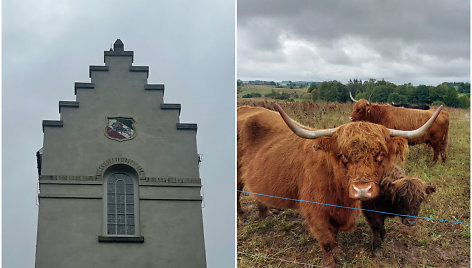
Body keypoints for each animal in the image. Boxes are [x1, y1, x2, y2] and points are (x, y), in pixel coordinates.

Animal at [240, 103, 442, 266]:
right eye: (343, 155)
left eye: (380, 155)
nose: (362, 190)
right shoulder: (316, 213)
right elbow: (327, 240)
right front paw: (332, 261)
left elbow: (335, 235)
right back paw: (242, 216)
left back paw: (265, 213)